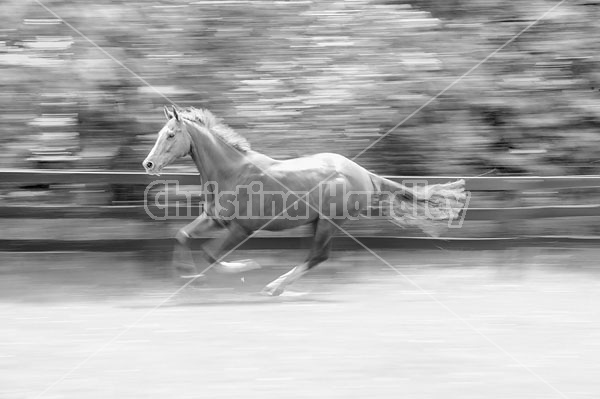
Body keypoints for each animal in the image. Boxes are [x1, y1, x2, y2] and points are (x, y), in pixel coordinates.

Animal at [143, 106, 466, 296]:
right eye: (159, 133)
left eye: (170, 135)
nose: (148, 164)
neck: (233, 171)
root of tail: (364, 173)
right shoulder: (215, 219)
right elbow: (182, 235)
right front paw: (187, 275)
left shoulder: (242, 228)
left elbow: (211, 254)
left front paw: (247, 265)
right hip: (317, 222)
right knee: (317, 256)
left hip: (328, 222)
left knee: (317, 256)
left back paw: (274, 287)